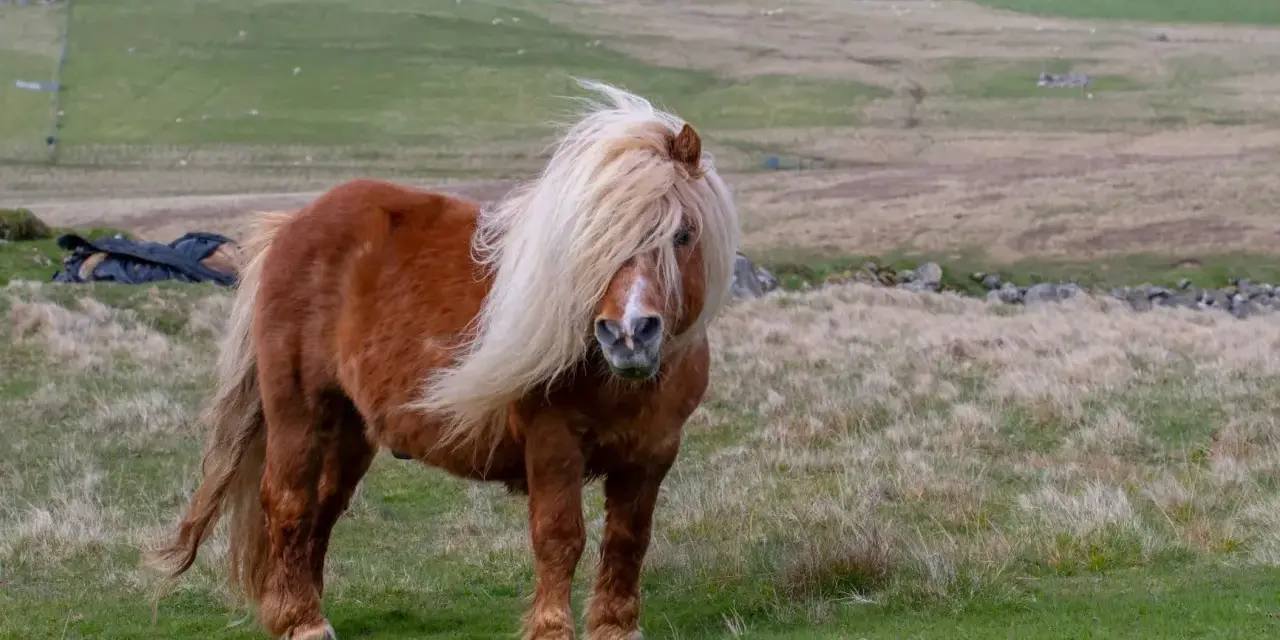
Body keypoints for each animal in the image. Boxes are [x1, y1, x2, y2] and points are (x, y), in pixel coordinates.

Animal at [146, 79, 742, 640]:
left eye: (683, 234)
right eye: (595, 243)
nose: (627, 335)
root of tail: (292, 225)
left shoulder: (652, 454)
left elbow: (627, 541)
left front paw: (617, 627)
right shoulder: (553, 443)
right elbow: (560, 536)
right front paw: (552, 628)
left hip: (350, 428)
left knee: (322, 510)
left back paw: (303, 609)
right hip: (300, 413)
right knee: (289, 503)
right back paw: (303, 621)